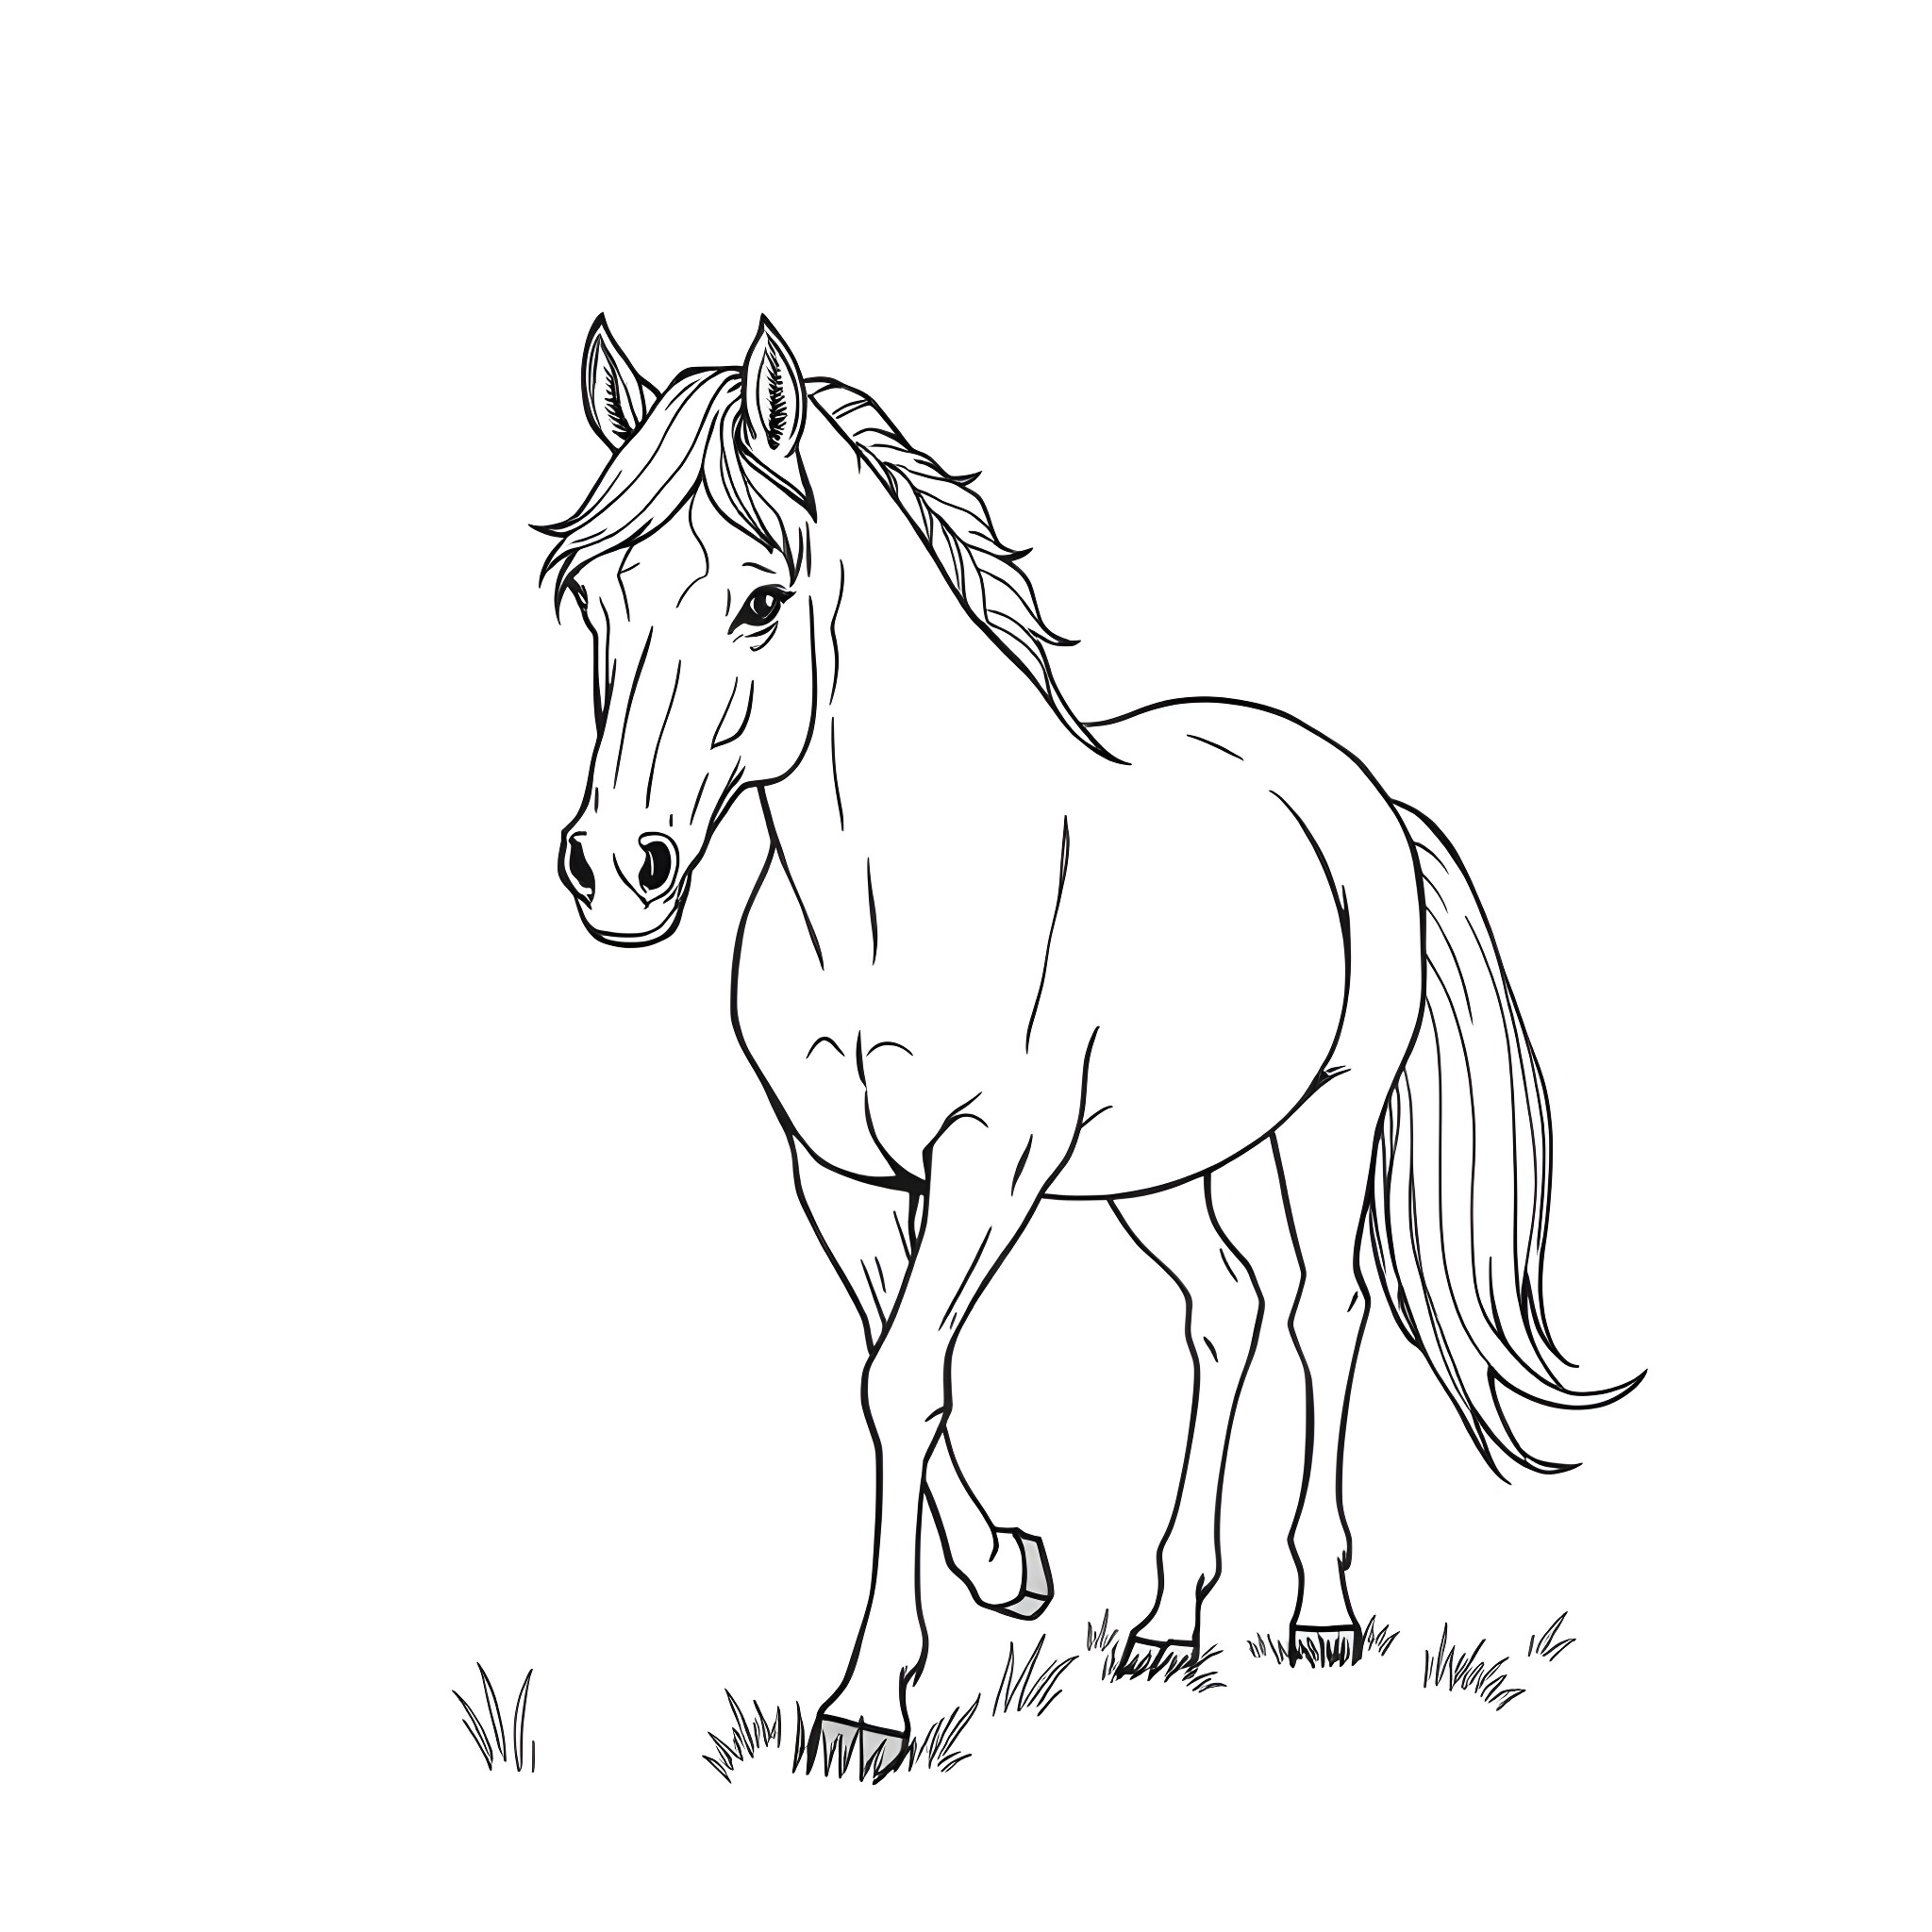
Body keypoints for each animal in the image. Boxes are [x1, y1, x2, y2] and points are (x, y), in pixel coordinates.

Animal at [538, 315, 1641, 1776]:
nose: (619, 869)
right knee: (1224, 1315)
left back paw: (1322, 1611)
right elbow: (895, 1368)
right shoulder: (839, 1174)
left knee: (1322, 1312)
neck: (881, 896)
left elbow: (906, 1378)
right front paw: (1008, 1570)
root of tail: (1352, 786)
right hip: (1161, 1166)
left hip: (1327, 1120)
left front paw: (866, 1703)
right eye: (589, 597)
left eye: (762, 600)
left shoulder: (988, 1161)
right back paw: (1168, 1622)